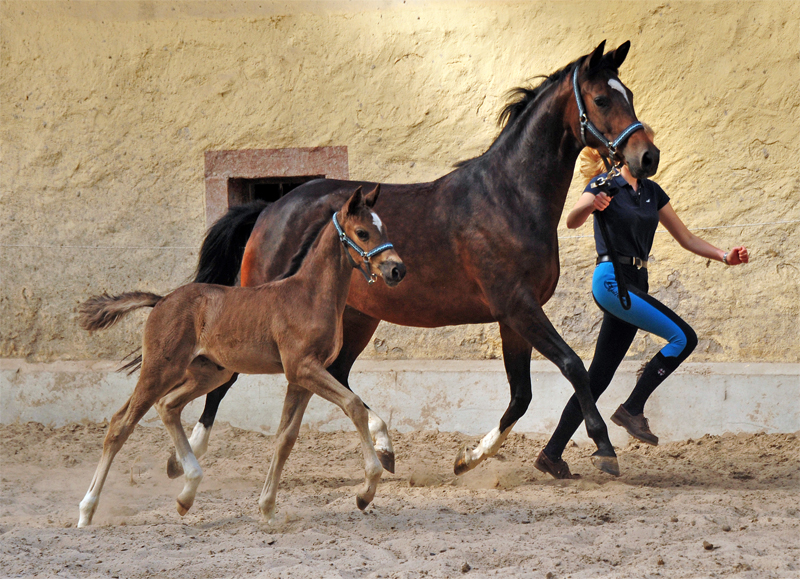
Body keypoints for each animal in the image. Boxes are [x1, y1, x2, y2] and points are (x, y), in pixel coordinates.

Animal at [77, 185, 404, 524]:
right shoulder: (303, 368)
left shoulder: (301, 378)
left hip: (208, 373)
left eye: (384, 228)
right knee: (121, 424)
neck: (309, 296)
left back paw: (186, 494)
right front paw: (365, 491)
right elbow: (354, 406)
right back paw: (86, 512)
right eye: (363, 232)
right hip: (161, 369)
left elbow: (285, 438)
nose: (397, 269)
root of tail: (161, 300)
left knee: (167, 406)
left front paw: (268, 509)